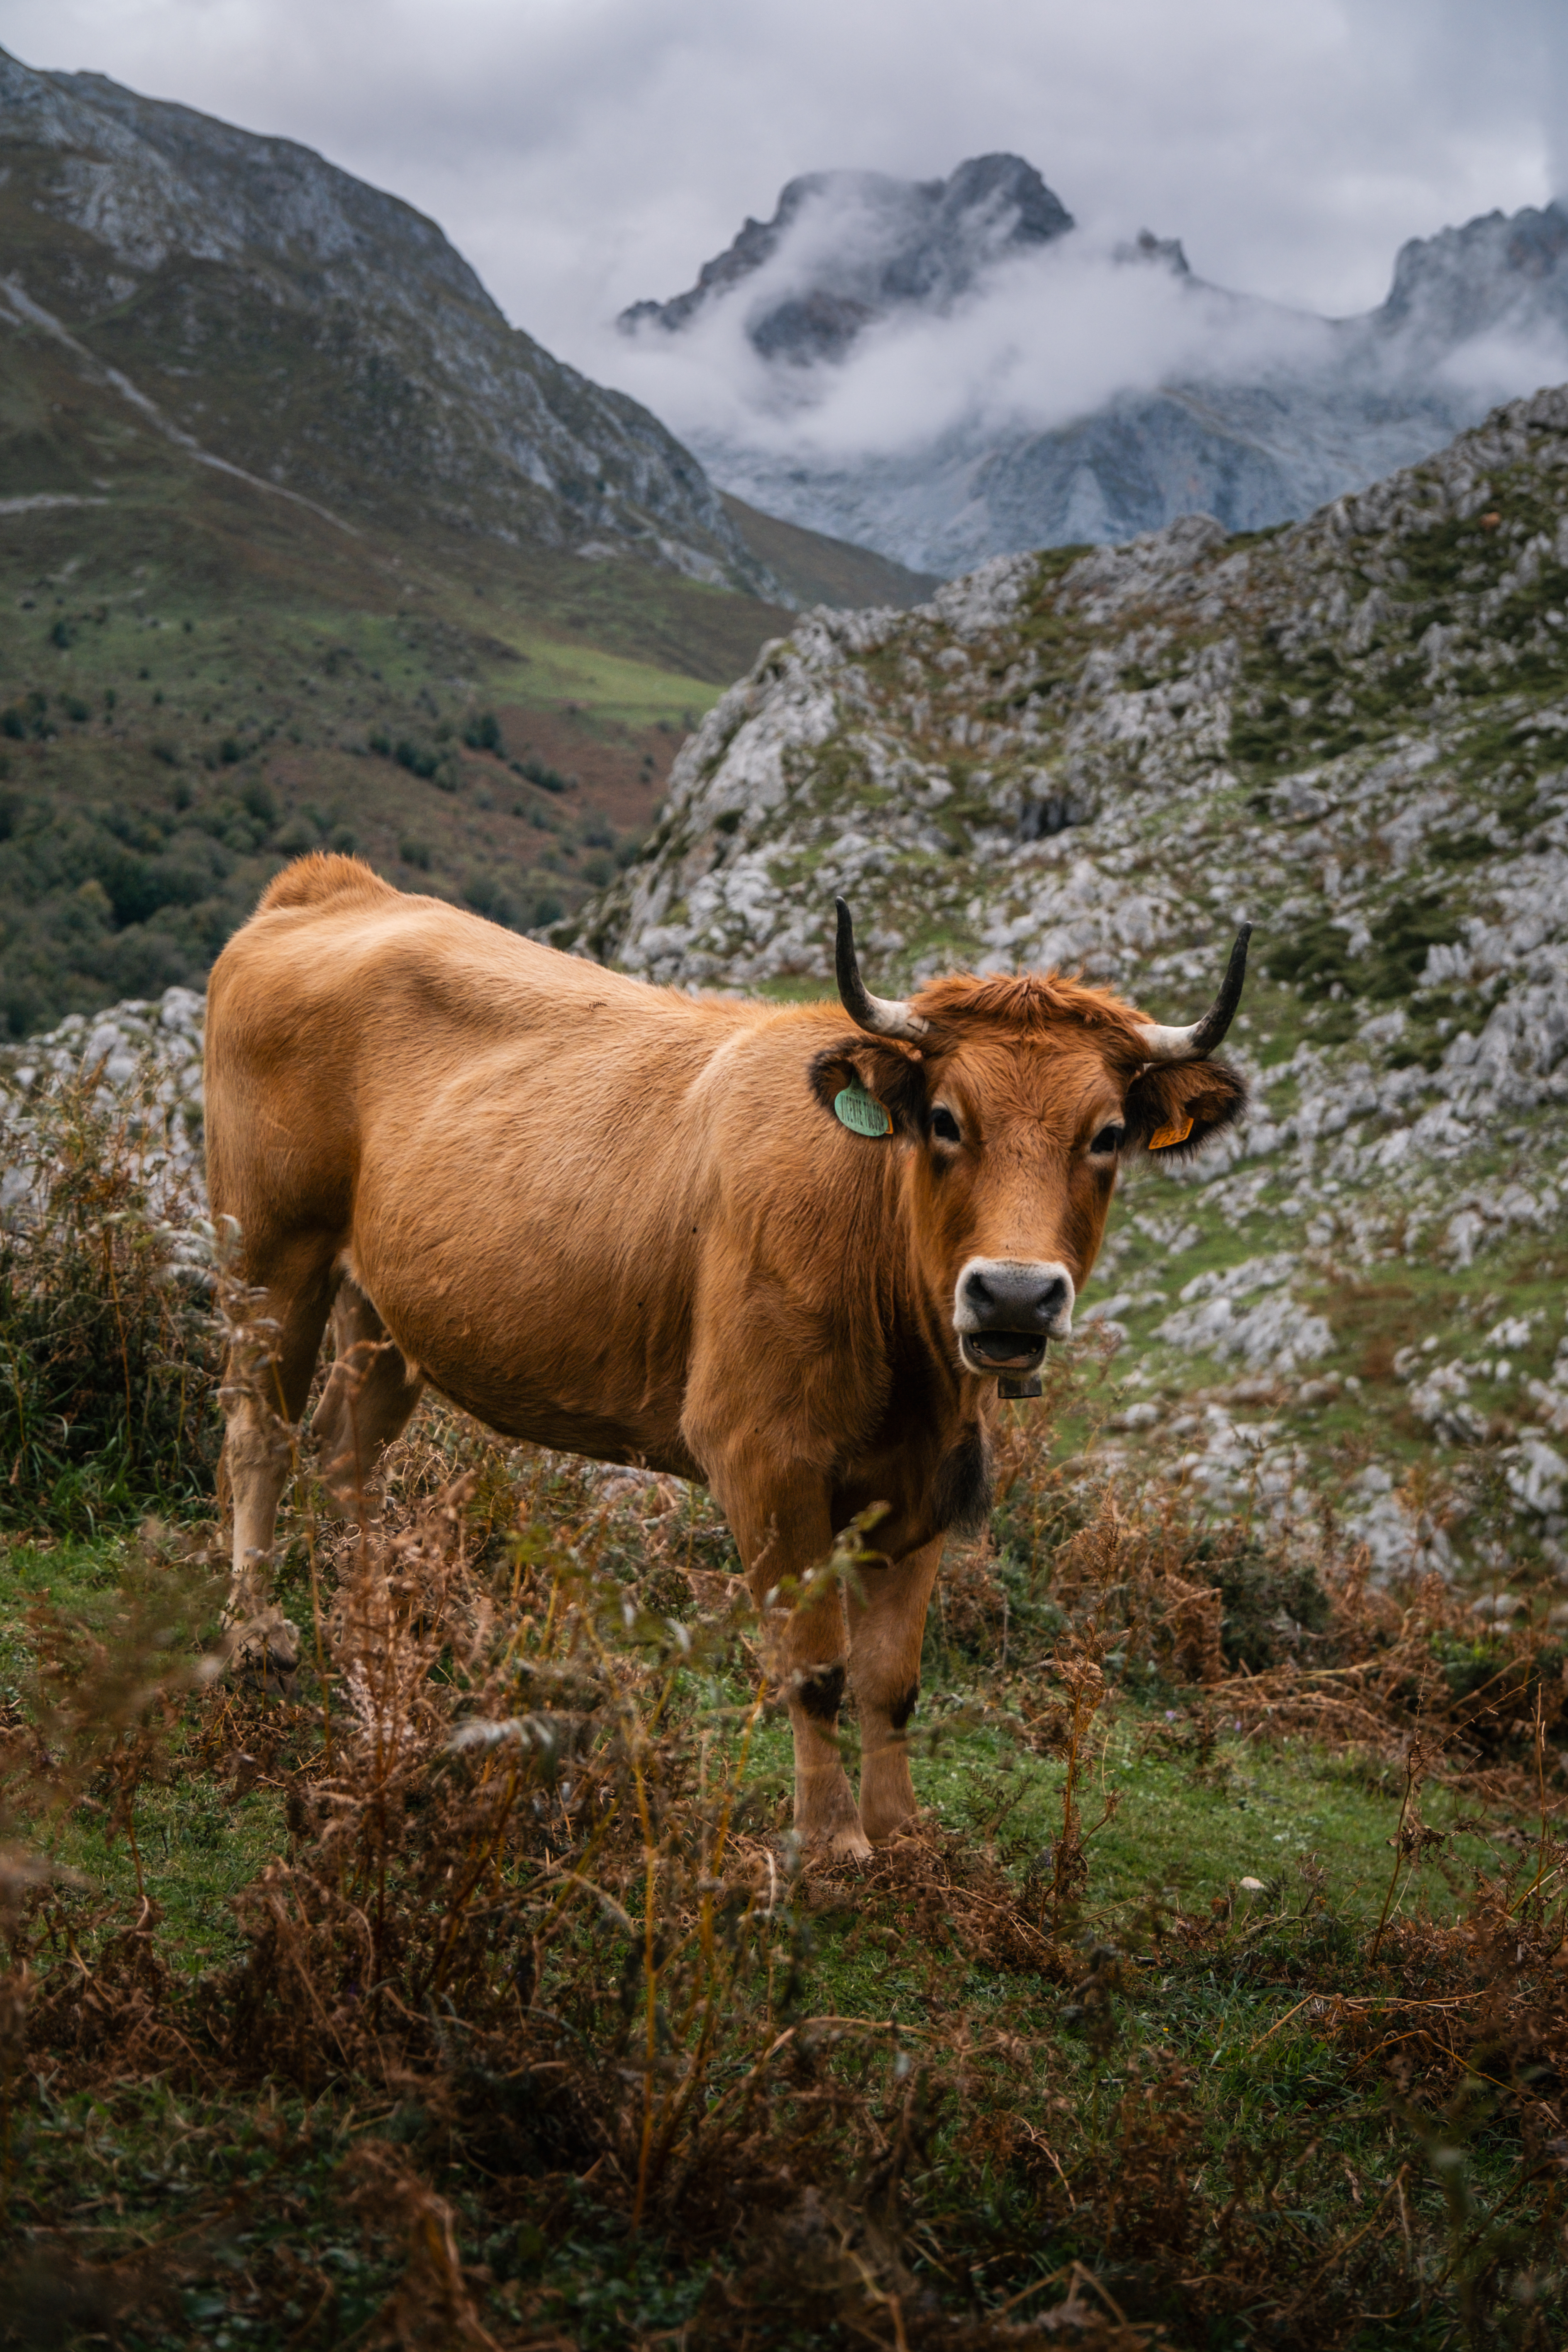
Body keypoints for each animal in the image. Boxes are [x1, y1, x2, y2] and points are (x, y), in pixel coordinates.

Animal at [205, 856, 1251, 1863]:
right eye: (946, 1120)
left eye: (1106, 1135)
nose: (1014, 1293)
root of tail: (333, 887)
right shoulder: (764, 1457)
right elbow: (815, 1663)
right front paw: (831, 1843)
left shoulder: (923, 1483)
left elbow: (891, 1677)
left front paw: (902, 1835)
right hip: (271, 1252)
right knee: (260, 1432)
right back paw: (259, 1637)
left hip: (382, 1306)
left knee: (348, 1450)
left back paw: (374, 1638)